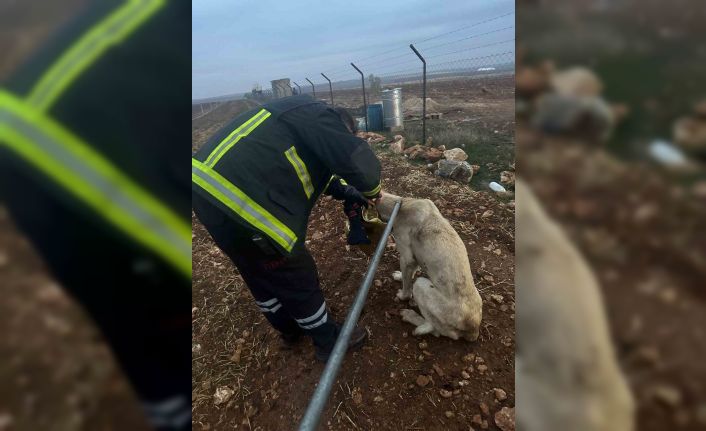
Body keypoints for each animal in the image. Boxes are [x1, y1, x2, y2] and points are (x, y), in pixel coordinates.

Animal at [372, 192, 482, 340]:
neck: (401, 205)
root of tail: (473, 329)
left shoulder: (406, 257)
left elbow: (407, 287)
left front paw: (402, 296)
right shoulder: (415, 258)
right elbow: (408, 274)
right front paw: (399, 276)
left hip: (420, 285)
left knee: (434, 330)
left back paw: (410, 315)